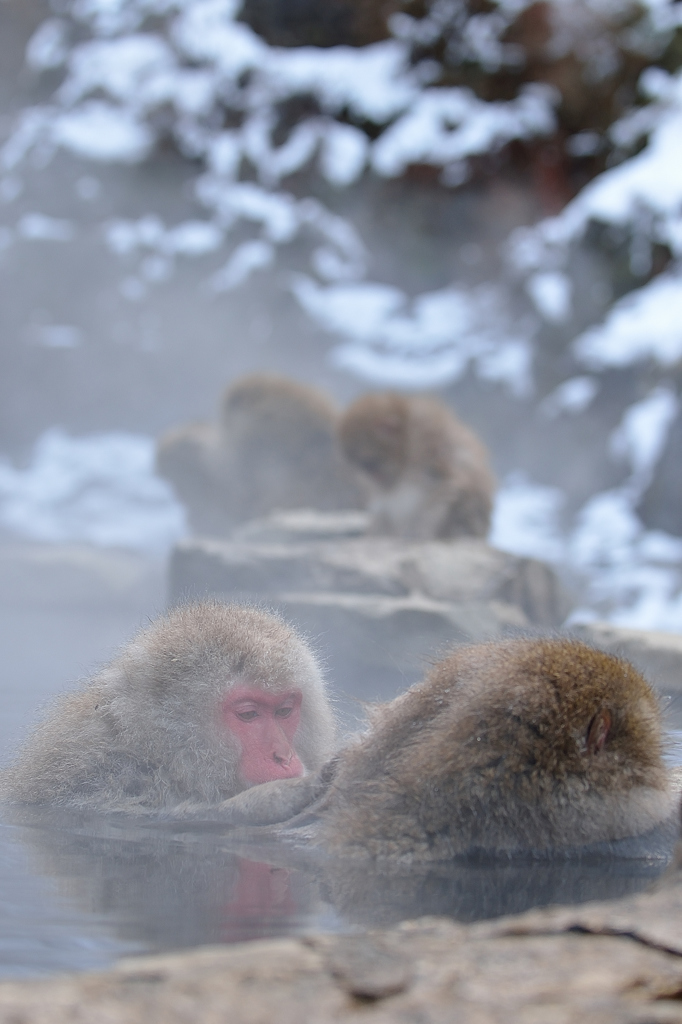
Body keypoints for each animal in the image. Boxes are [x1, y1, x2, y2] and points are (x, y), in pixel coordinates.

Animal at [337, 389, 493, 540]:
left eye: (371, 463)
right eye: (363, 468)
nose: (375, 478)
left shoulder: (429, 443)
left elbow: (446, 486)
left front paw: (417, 531)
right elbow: (383, 506)